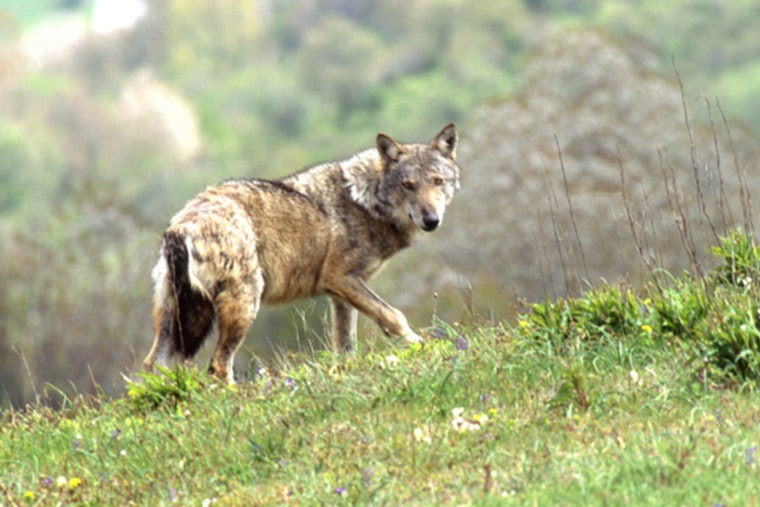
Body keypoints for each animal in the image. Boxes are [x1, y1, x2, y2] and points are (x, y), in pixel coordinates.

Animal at [144, 124, 460, 382]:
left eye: (437, 181)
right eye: (408, 185)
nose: (431, 220)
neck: (364, 201)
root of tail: (182, 225)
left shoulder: (341, 295)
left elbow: (345, 347)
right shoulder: (339, 278)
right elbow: (394, 317)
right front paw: (425, 347)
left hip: (174, 318)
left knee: (152, 365)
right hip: (243, 304)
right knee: (218, 366)